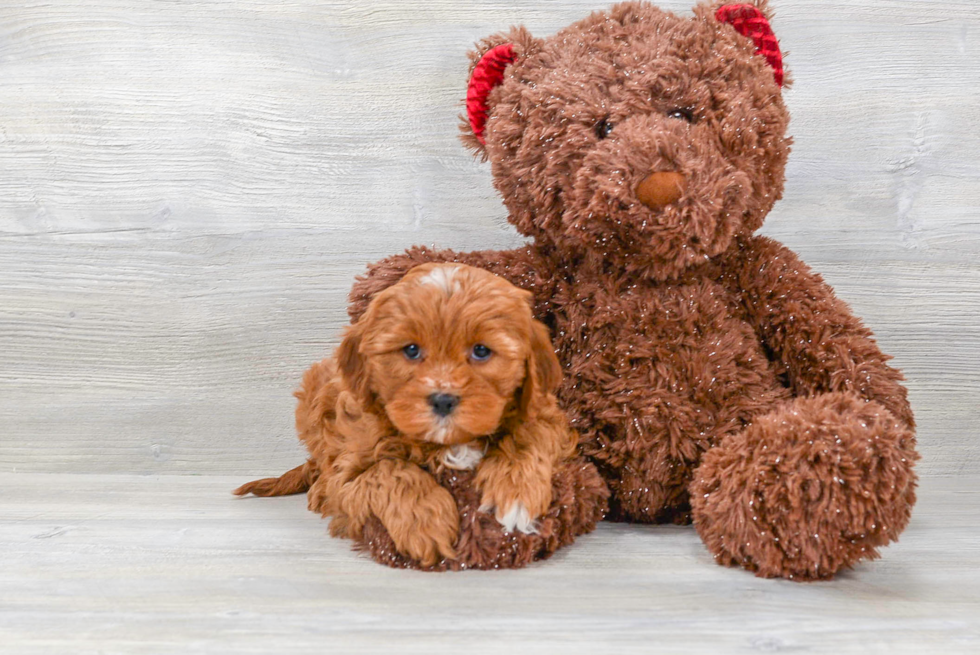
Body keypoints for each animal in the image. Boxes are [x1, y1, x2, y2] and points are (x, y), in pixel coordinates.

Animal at [235, 264, 576, 568]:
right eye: (411, 350)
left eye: (481, 351)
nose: (443, 400)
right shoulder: (348, 466)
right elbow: (387, 470)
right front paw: (425, 522)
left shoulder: (546, 413)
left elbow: (528, 435)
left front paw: (516, 496)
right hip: (312, 398)